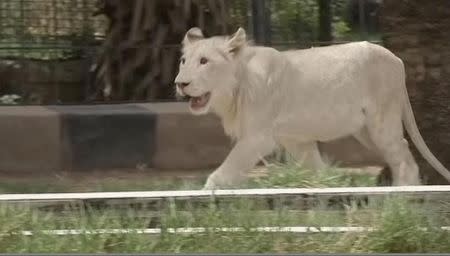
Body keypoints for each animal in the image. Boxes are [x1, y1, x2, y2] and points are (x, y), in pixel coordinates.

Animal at [173, 27, 450, 189]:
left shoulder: (258, 138)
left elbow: (225, 170)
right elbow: (317, 169)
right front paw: (328, 188)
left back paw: (404, 193)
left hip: (381, 120)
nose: (180, 83)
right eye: (184, 61)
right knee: (397, 153)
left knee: (403, 156)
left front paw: (206, 197)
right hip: (365, 131)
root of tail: (397, 59)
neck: (234, 89)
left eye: (204, 61)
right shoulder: (297, 140)